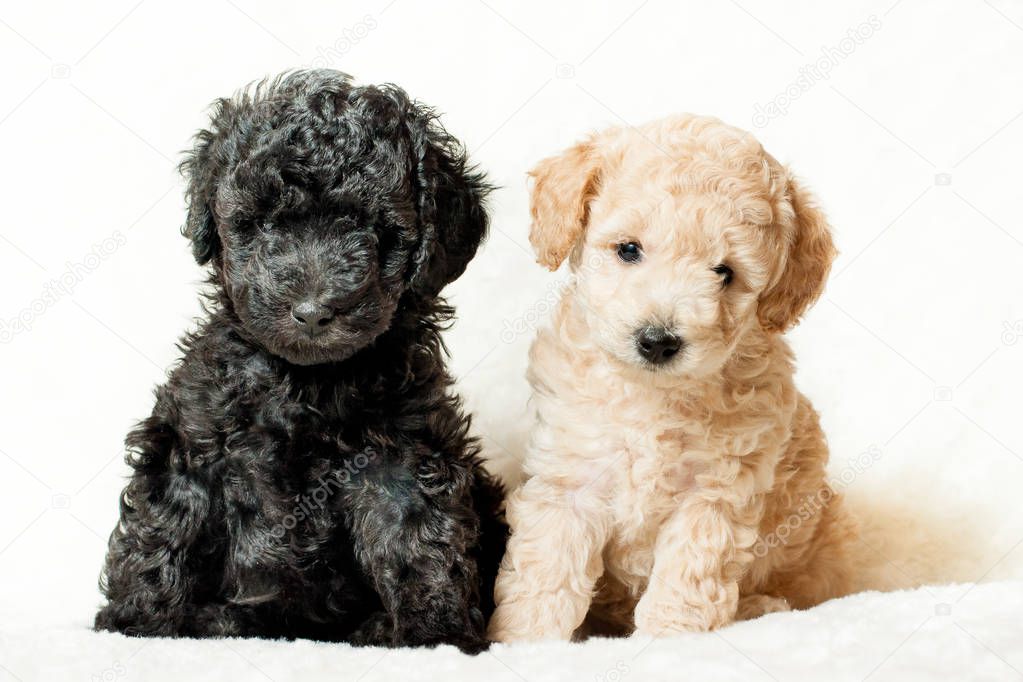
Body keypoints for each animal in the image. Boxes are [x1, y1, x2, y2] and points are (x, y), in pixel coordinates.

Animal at [95, 72, 507, 654]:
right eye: (264, 225)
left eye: (373, 230)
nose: (312, 311)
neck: (307, 381)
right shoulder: (193, 440)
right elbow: (165, 525)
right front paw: (138, 621)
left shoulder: (402, 452)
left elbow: (418, 535)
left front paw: (435, 633)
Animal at [491, 114, 859, 642]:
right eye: (628, 250)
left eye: (725, 272)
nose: (658, 341)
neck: (651, 395)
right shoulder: (571, 474)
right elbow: (547, 568)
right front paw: (526, 641)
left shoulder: (715, 495)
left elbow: (689, 575)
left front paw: (669, 639)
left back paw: (762, 606)